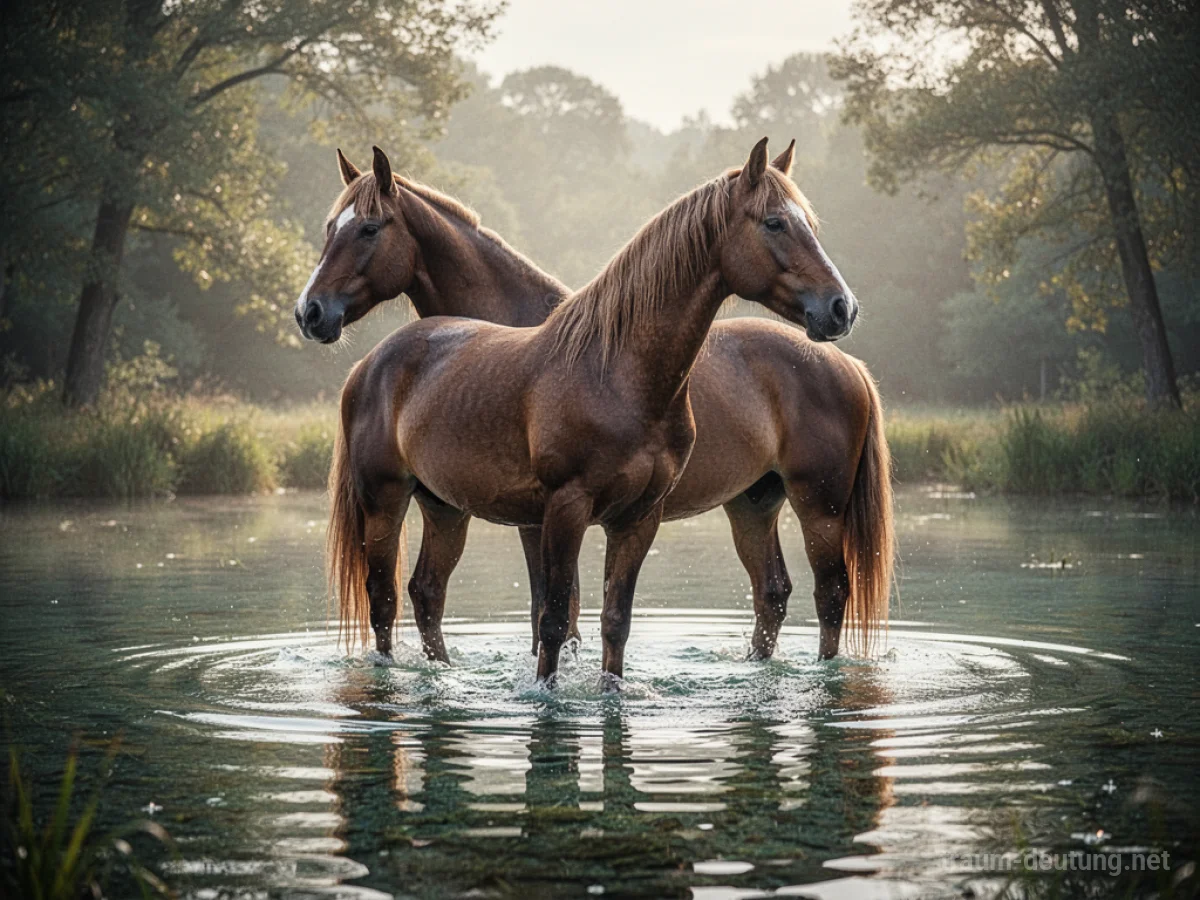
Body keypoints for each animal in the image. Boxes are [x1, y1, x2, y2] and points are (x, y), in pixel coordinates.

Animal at [302, 139, 891, 679]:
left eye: (369, 228)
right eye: (775, 222)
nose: (310, 312)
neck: (616, 367)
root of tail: (851, 367)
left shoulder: (595, 515)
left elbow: (577, 615)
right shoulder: (549, 513)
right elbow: (557, 615)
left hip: (815, 505)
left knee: (825, 593)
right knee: (398, 597)